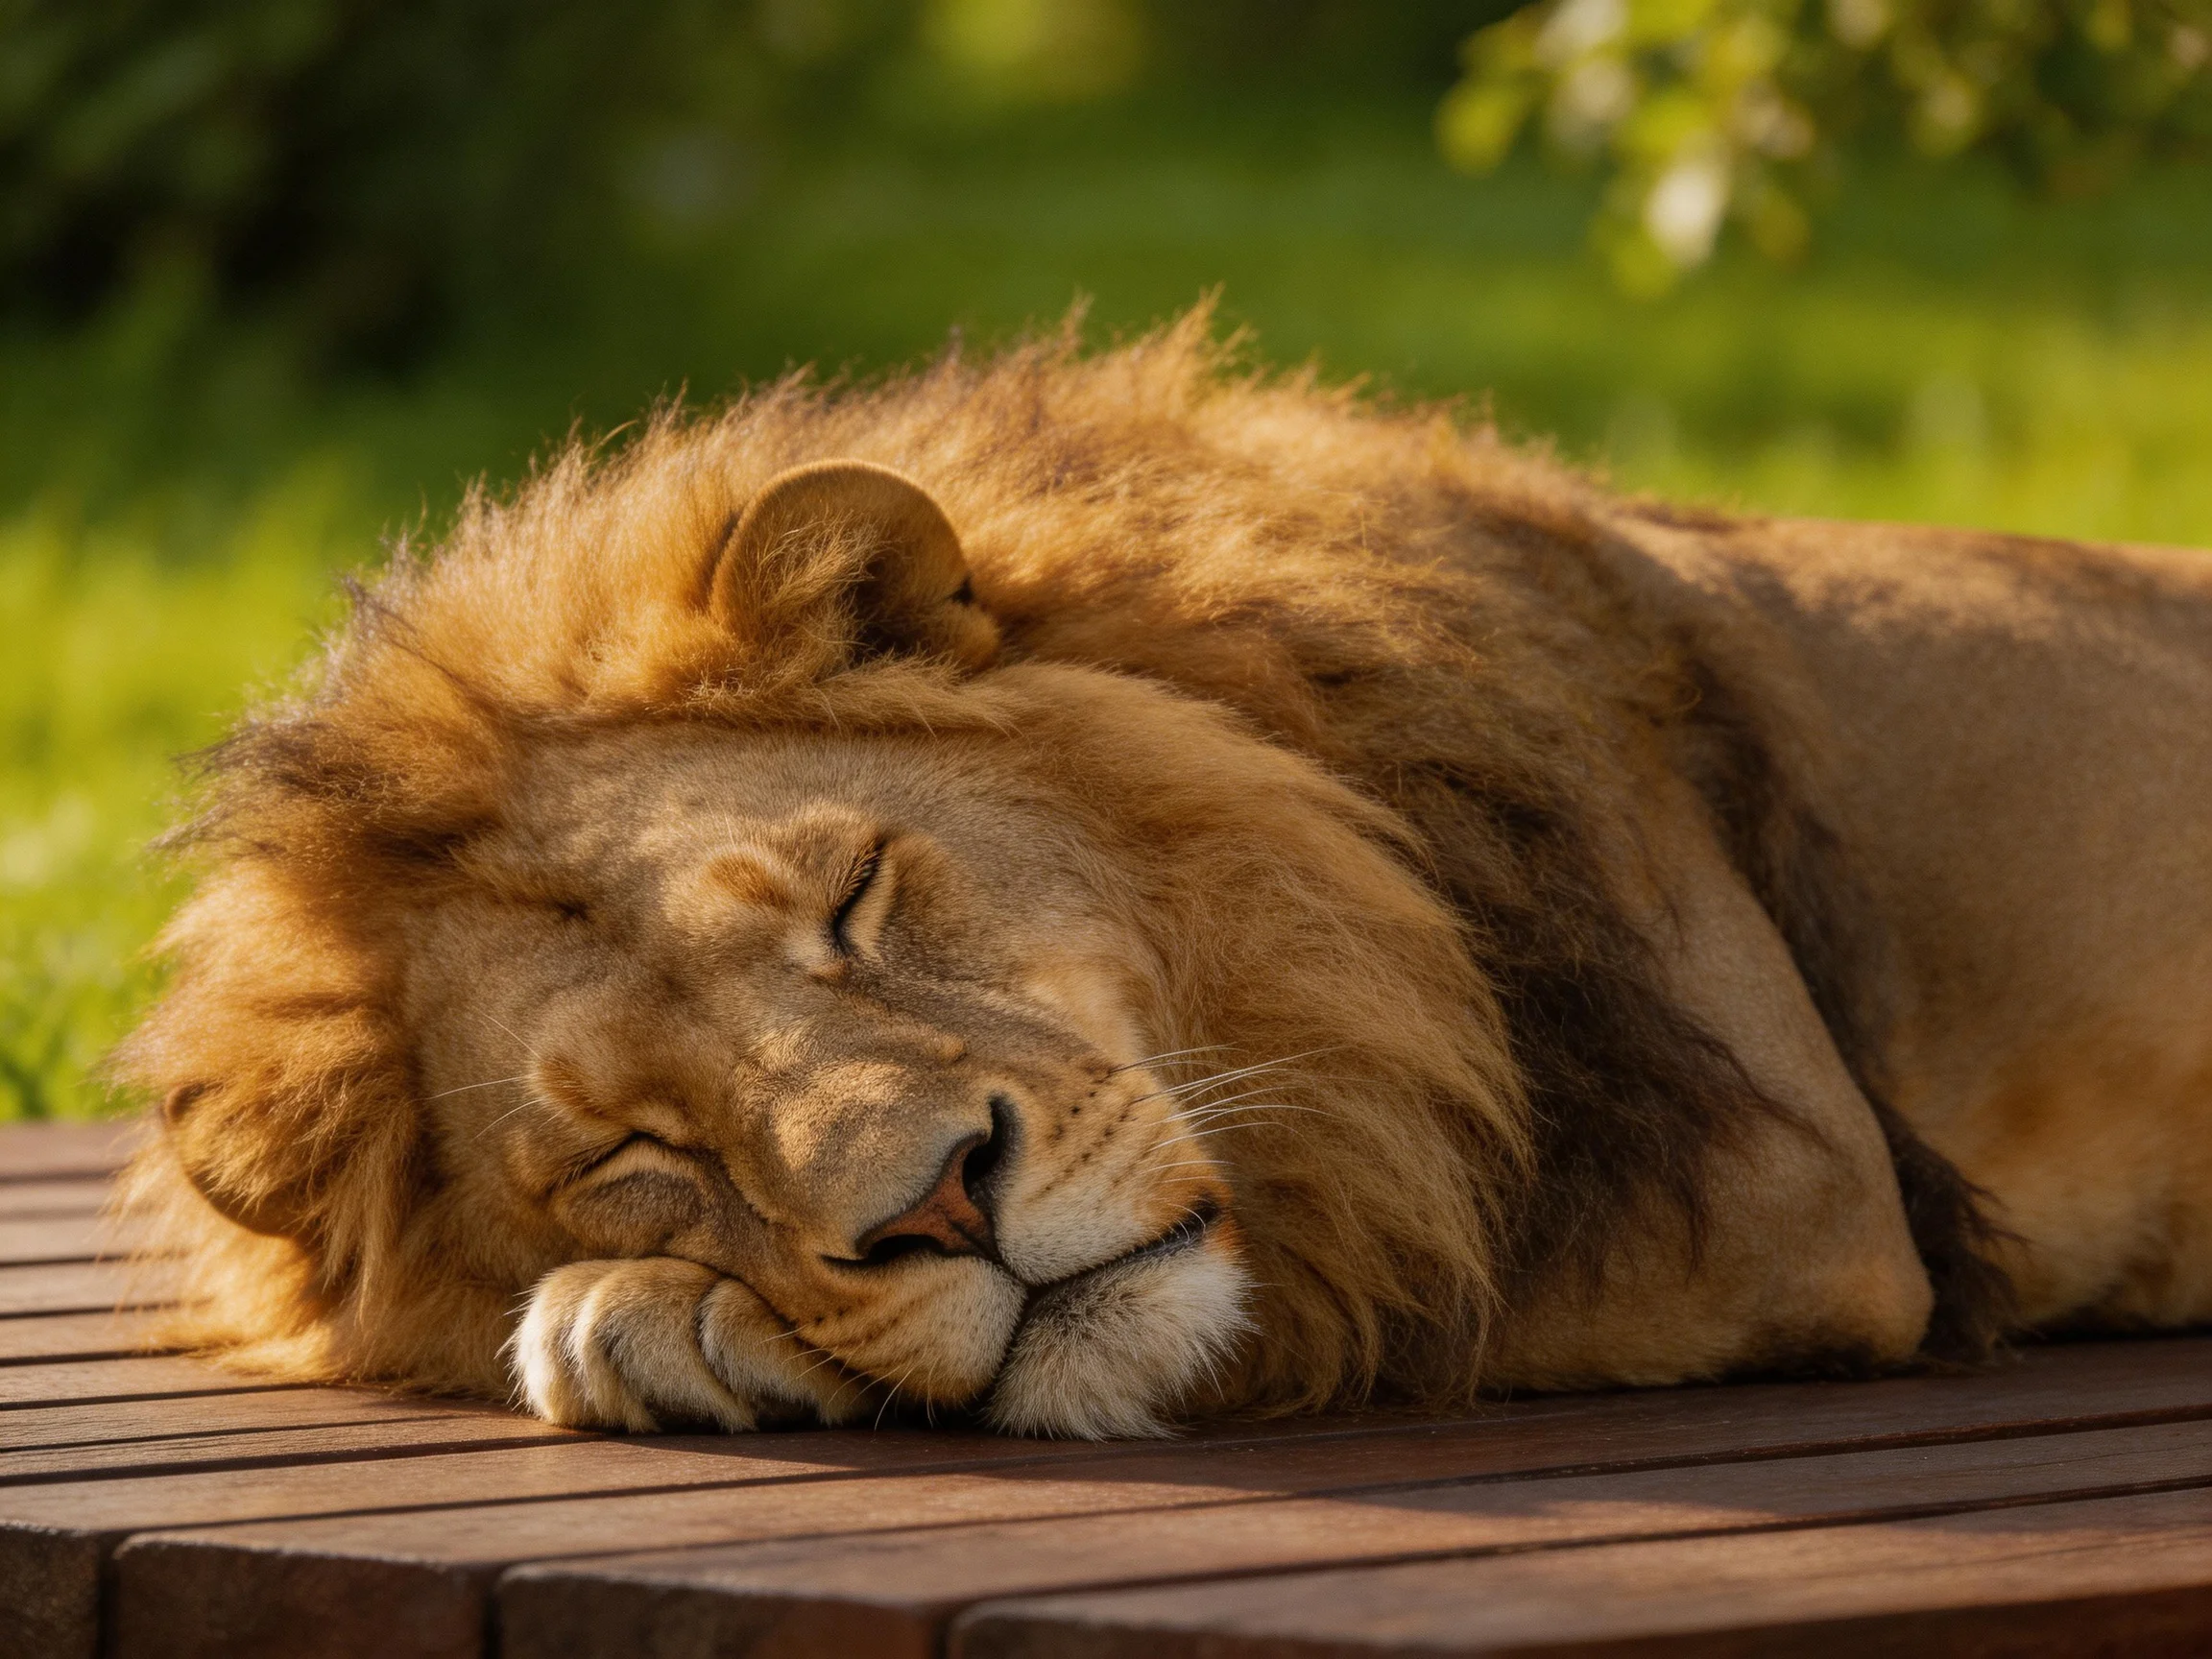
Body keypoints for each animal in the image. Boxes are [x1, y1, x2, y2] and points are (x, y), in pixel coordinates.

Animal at [116, 311, 2212, 1438]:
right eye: (636, 1151)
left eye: (853, 897)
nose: (938, 1206)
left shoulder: (1775, 1184)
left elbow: (1339, 1261)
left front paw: (640, 1323)